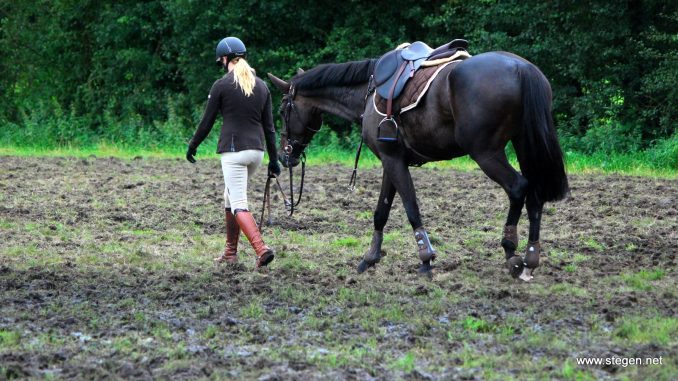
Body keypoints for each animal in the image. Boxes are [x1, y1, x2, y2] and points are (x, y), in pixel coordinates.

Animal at [268, 51, 572, 280]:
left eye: (283, 108)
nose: (284, 155)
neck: (368, 91)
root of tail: (521, 67)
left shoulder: (393, 161)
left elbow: (411, 207)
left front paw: (425, 258)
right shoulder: (391, 161)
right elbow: (381, 212)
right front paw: (370, 257)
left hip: (486, 153)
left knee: (519, 187)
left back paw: (511, 251)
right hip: (523, 144)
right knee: (534, 193)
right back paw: (531, 257)